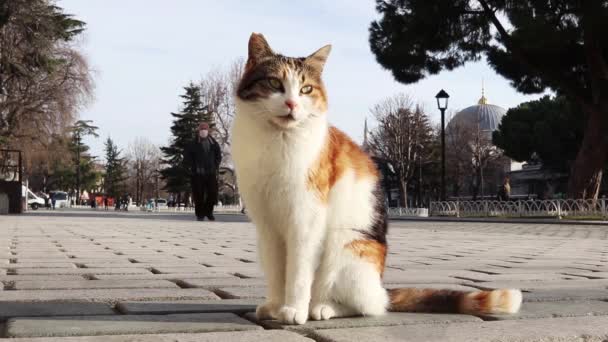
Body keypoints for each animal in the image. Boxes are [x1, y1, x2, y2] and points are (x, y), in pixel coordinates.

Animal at [232, 32, 524, 326]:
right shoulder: (268, 224)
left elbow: (298, 272)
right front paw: (275, 305)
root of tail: (381, 288)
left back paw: (323, 308)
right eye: (274, 83)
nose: (292, 104)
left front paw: (294, 309)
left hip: (346, 244)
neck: (277, 139)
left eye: (306, 89)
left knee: (367, 305)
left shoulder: (305, 220)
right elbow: (276, 271)